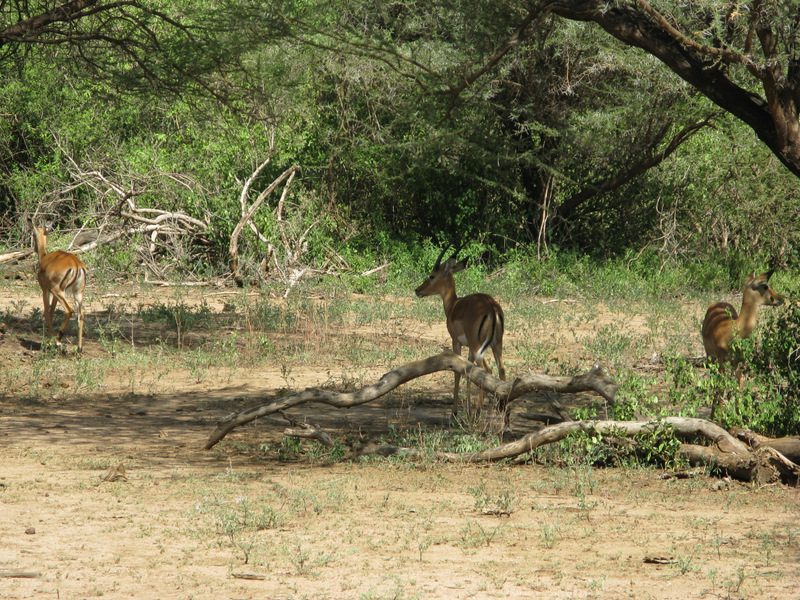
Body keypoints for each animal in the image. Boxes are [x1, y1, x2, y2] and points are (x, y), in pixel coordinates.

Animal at [30, 221, 87, 353]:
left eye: (33, 234)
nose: (34, 248)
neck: (45, 258)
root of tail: (77, 264)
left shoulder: (45, 290)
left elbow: (47, 312)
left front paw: (49, 340)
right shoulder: (55, 295)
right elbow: (52, 312)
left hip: (58, 291)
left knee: (69, 310)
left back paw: (58, 340)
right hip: (77, 293)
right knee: (81, 314)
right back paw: (79, 348)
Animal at [415, 245, 506, 421]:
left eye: (432, 275)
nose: (417, 290)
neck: (453, 305)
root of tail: (491, 306)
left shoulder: (456, 341)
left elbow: (458, 372)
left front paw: (455, 413)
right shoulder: (469, 347)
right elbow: (468, 372)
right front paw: (467, 411)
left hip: (479, 346)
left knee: (486, 370)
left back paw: (478, 413)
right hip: (496, 344)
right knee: (501, 370)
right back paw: (503, 412)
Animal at [701, 270, 783, 418]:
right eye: (765, 286)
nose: (779, 298)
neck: (732, 330)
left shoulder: (739, 361)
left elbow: (737, 388)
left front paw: (739, 418)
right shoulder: (721, 359)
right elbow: (721, 388)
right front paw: (719, 420)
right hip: (710, 357)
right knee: (714, 382)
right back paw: (712, 415)